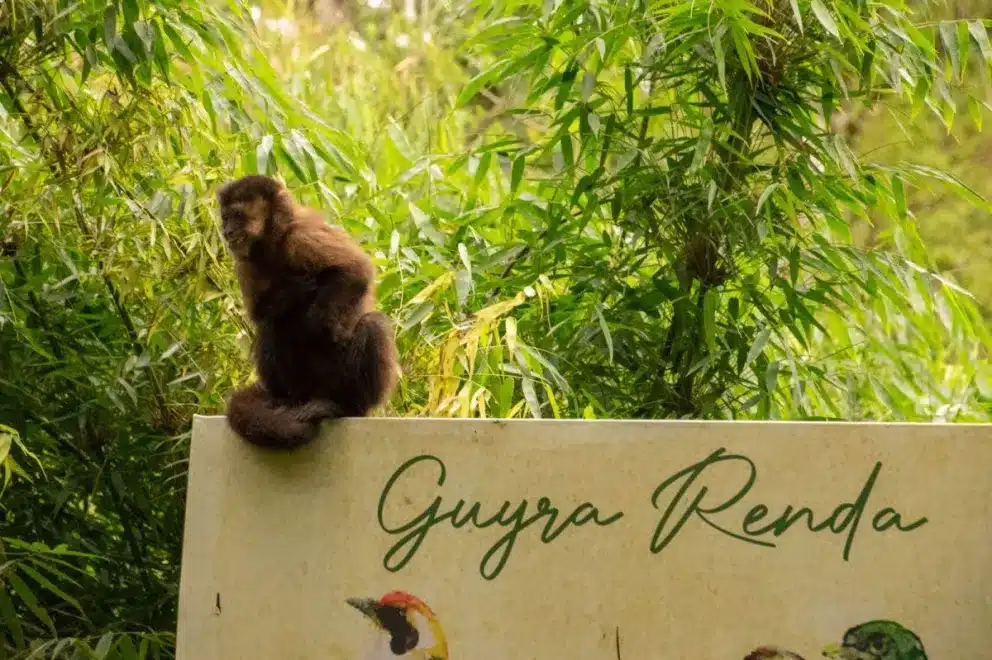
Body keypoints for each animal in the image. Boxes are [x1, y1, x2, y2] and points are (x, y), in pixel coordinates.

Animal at [216, 174, 398, 449]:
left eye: (237, 216)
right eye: (226, 218)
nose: (227, 231)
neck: (273, 240)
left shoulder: (301, 236)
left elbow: (356, 270)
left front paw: (322, 324)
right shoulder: (245, 260)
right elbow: (259, 311)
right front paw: (296, 289)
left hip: (338, 381)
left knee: (372, 324)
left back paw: (342, 407)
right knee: (272, 324)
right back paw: (288, 401)